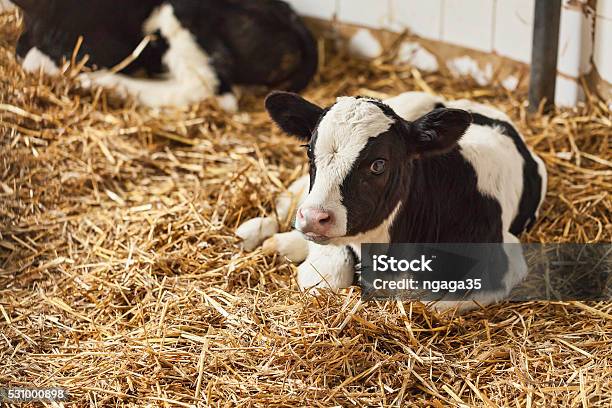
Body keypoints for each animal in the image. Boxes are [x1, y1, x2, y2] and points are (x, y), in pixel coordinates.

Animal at [237, 91, 548, 310]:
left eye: (378, 164)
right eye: (309, 151)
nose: (314, 217)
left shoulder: (504, 261)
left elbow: (428, 303)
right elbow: (326, 276)